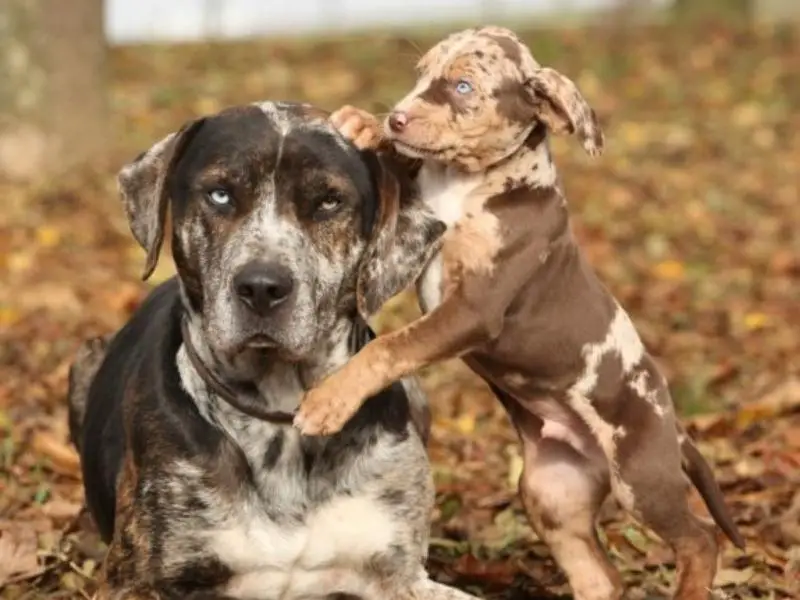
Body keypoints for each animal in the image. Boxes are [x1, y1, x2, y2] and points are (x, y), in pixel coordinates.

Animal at [67, 102, 488, 600]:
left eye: (328, 202)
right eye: (220, 195)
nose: (262, 287)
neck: (281, 415)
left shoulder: (402, 575)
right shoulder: (135, 581)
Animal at [292, 27, 744, 600]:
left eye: (463, 86)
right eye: (421, 74)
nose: (396, 117)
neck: (467, 183)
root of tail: (675, 427)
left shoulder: (475, 307)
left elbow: (387, 348)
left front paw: (328, 402)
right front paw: (361, 126)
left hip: (641, 478)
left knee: (700, 539)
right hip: (551, 493)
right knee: (601, 577)